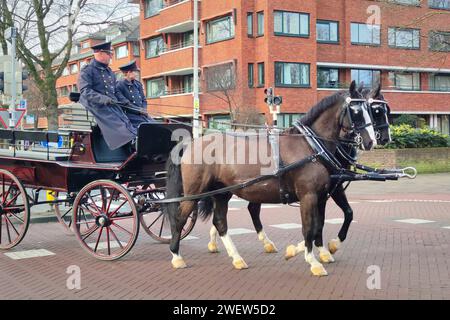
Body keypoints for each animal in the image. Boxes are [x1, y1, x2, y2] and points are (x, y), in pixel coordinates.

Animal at [164, 81, 376, 276]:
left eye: (370, 109)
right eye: (356, 110)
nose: (371, 141)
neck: (310, 146)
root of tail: (191, 143)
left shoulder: (321, 195)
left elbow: (320, 225)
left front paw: (306, 251)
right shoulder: (309, 196)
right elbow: (309, 228)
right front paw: (313, 262)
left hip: (221, 193)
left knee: (220, 222)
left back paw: (237, 258)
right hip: (194, 193)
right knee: (181, 218)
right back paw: (176, 256)